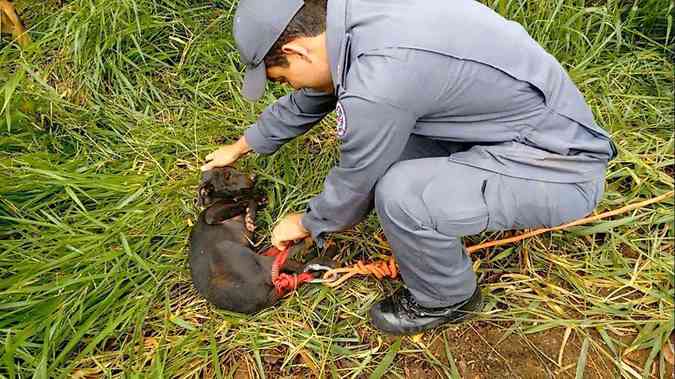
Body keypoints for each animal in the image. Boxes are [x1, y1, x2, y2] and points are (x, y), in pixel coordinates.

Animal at [190, 167, 332, 314]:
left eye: (233, 168)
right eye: (227, 176)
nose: (254, 176)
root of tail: (261, 301)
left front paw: (255, 205)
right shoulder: (211, 215)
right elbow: (242, 200)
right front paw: (250, 210)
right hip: (232, 250)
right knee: (295, 265)